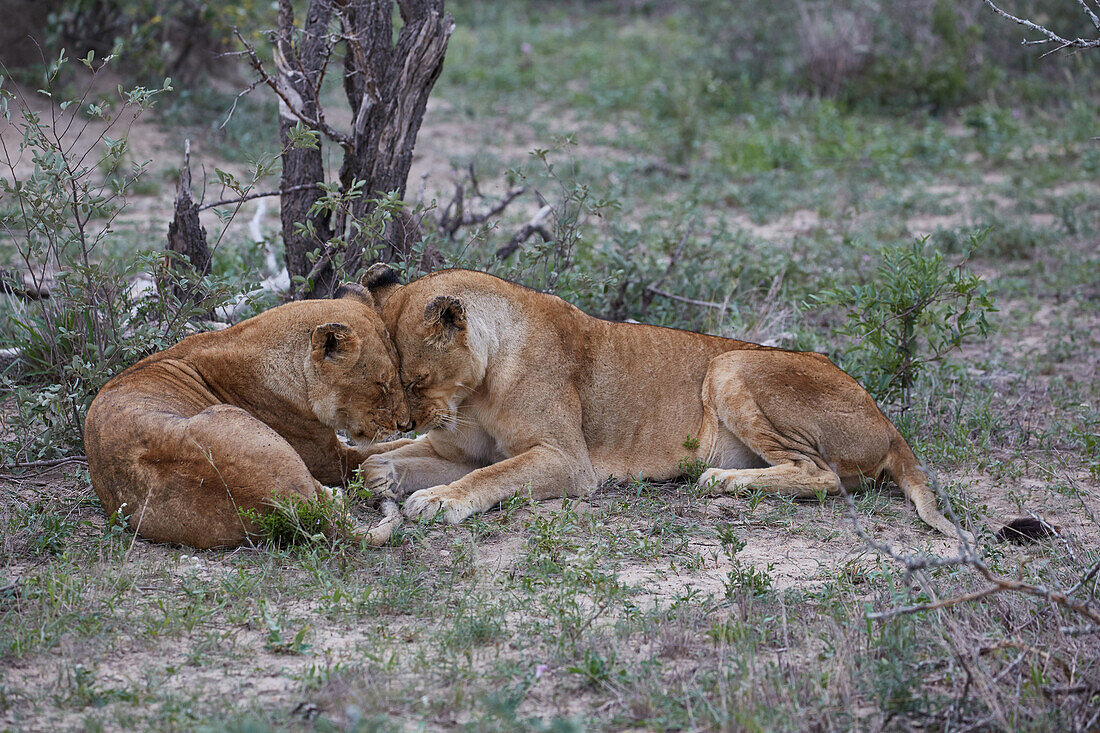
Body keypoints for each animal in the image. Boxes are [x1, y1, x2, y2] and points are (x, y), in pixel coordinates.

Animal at [84, 286, 413, 548]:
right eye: (382, 383)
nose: (405, 422)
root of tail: (285, 503)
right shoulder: (331, 459)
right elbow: (382, 449)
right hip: (230, 415)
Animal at [360, 265, 981, 539]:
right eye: (390, 384)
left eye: (416, 380)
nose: (406, 418)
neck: (481, 384)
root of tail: (887, 420)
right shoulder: (459, 448)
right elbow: (405, 459)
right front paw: (382, 470)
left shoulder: (568, 461)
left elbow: (494, 475)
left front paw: (438, 500)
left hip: (731, 365)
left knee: (822, 474)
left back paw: (722, 480)